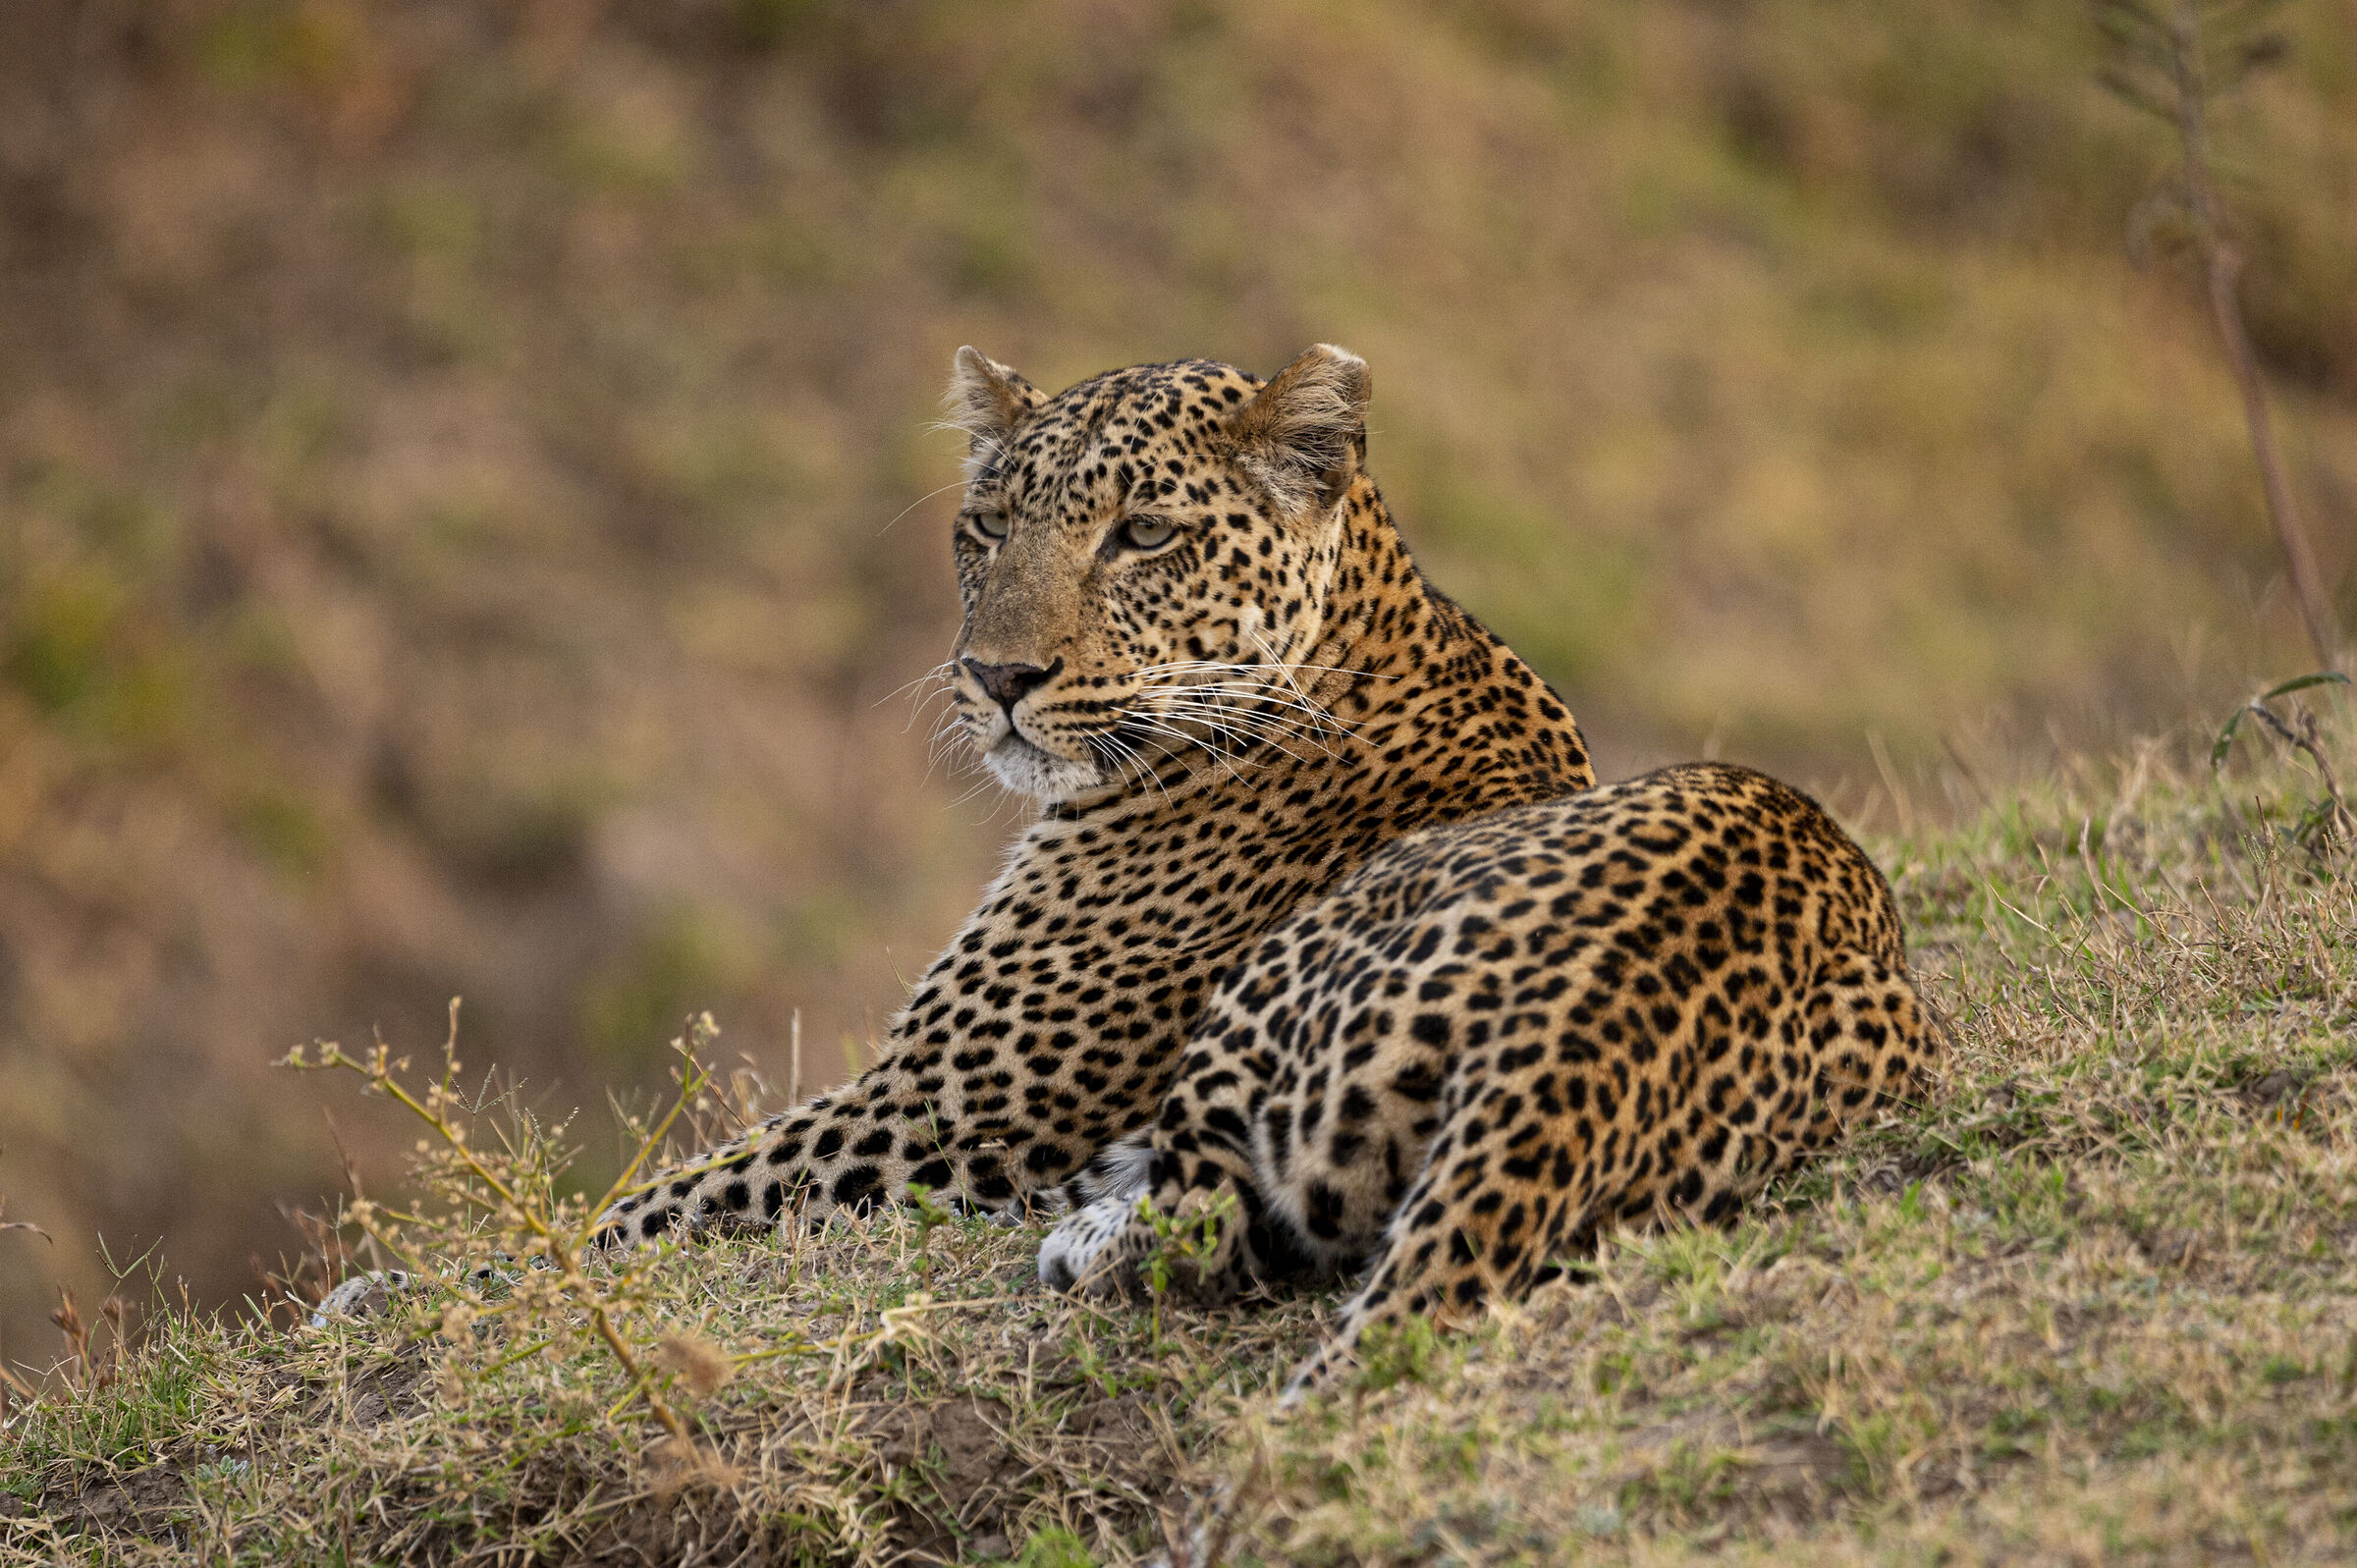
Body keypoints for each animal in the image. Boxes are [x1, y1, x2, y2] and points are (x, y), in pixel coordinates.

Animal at [577, 343, 1936, 1392]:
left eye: (1143, 535)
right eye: (987, 529)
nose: (997, 677)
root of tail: (1580, 1040)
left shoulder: (943, 1111)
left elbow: (639, 1212)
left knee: (1201, 1227)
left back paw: (1086, 1235)